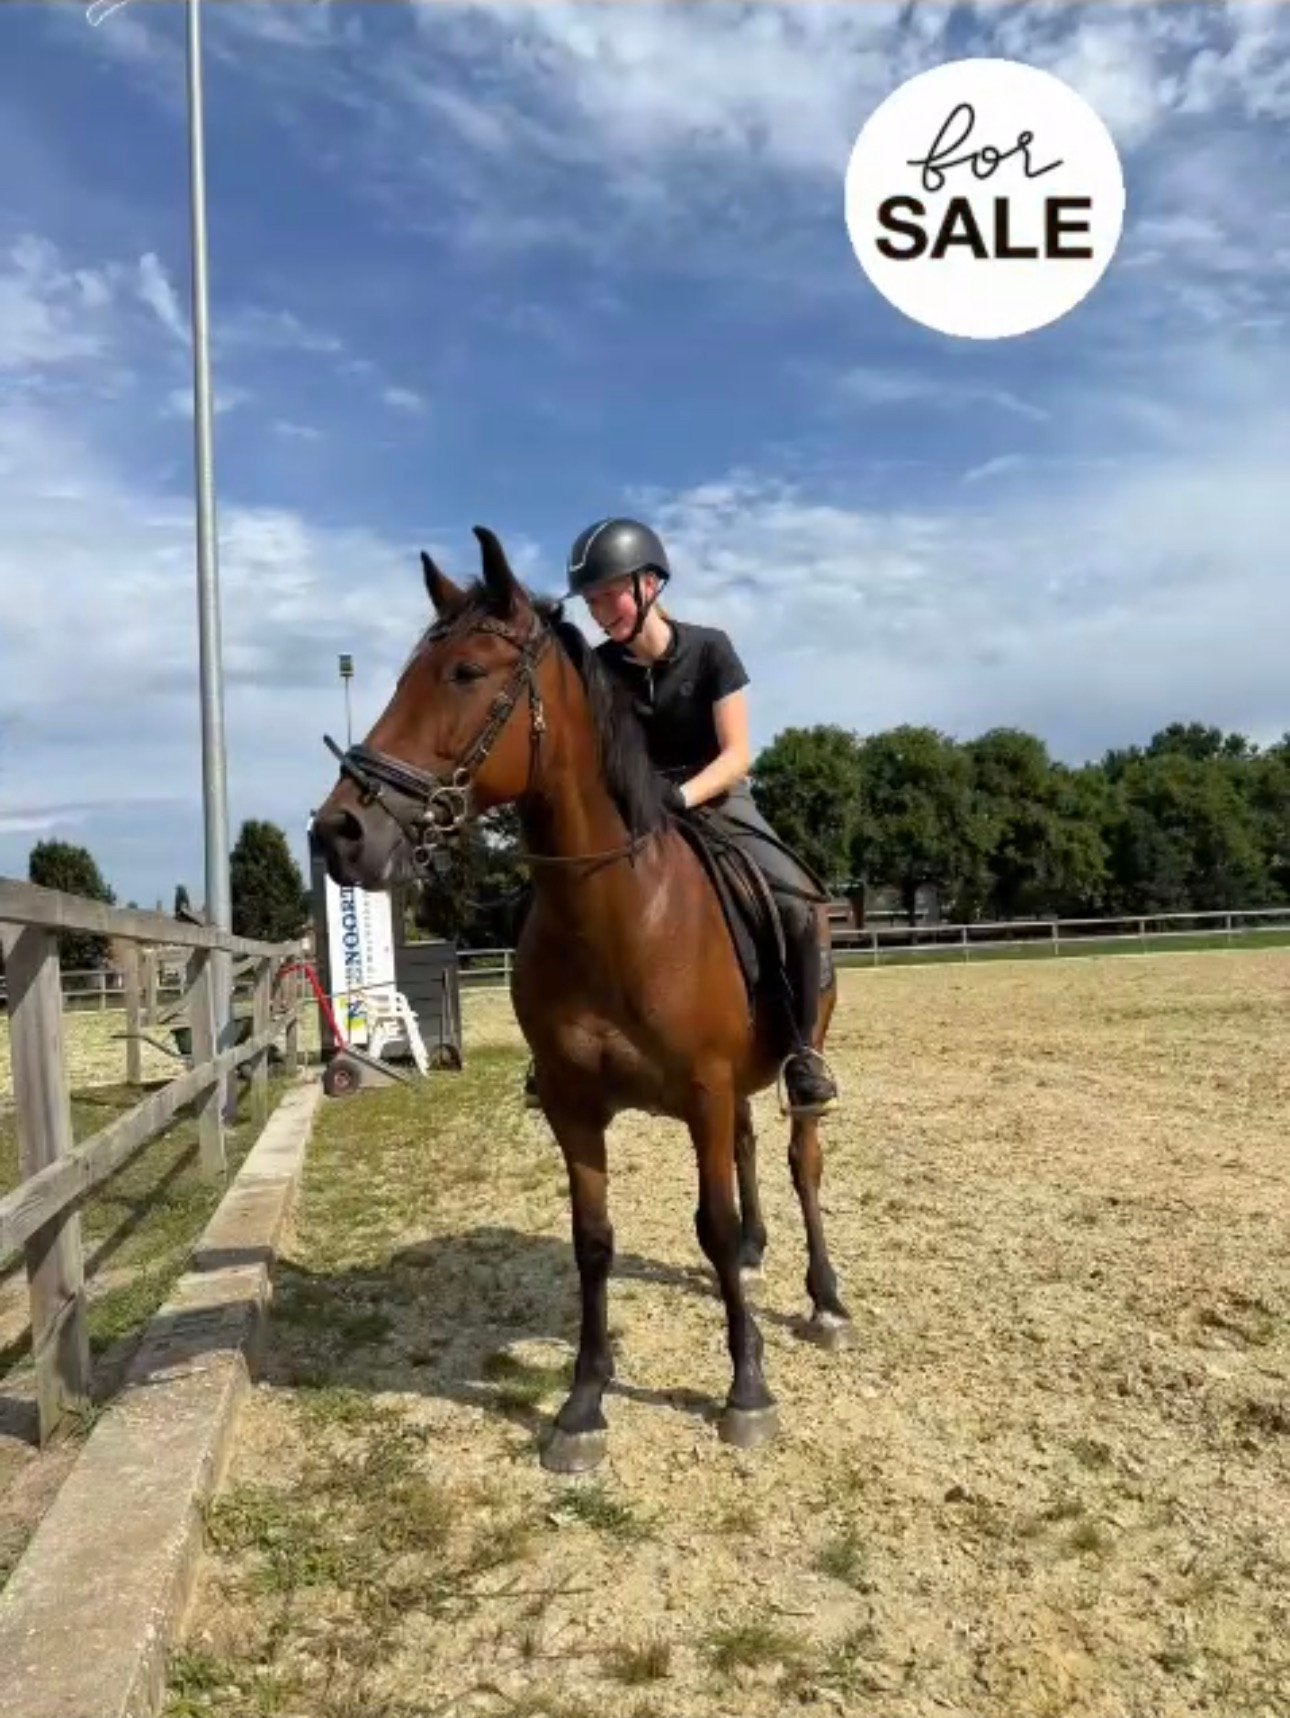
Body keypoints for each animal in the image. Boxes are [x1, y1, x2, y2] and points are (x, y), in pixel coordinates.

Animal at [312, 527, 854, 1473]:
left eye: (466, 673)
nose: (339, 832)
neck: (618, 911)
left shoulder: (703, 1091)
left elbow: (711, 1225)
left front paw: (747, 1390)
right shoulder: (575, 1106)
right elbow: (592, 1242)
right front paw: (583, 1404)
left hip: (791, 1068)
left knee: (800, 1160)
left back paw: (823, 1300)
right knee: (752, 1153)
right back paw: (761, 1256)